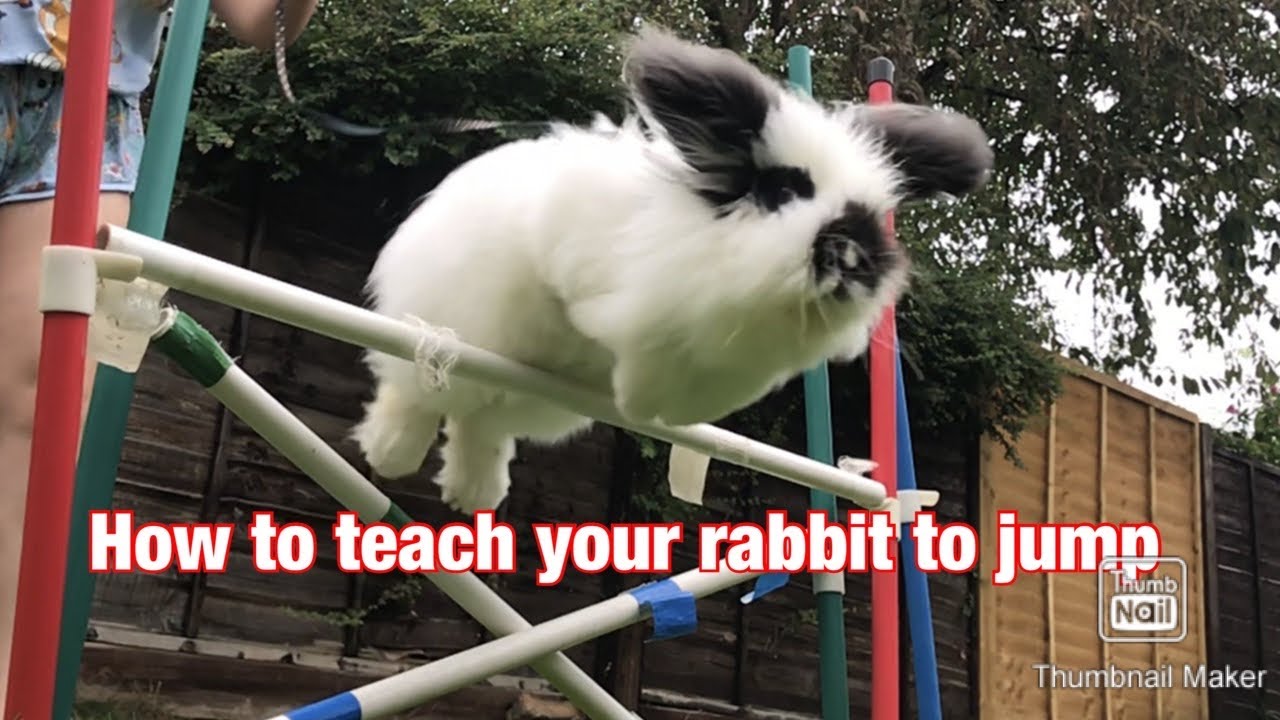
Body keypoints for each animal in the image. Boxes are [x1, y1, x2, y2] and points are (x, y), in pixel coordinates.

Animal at [352, 27, 994, 514]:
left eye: (874, 215)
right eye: (784, 190)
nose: (854, 255)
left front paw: (646, 401)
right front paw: (637, 390)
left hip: (521, 398)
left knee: (478, 424)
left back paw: (472, 494)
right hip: (451, 335)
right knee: (420, 386)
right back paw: (391, 452)